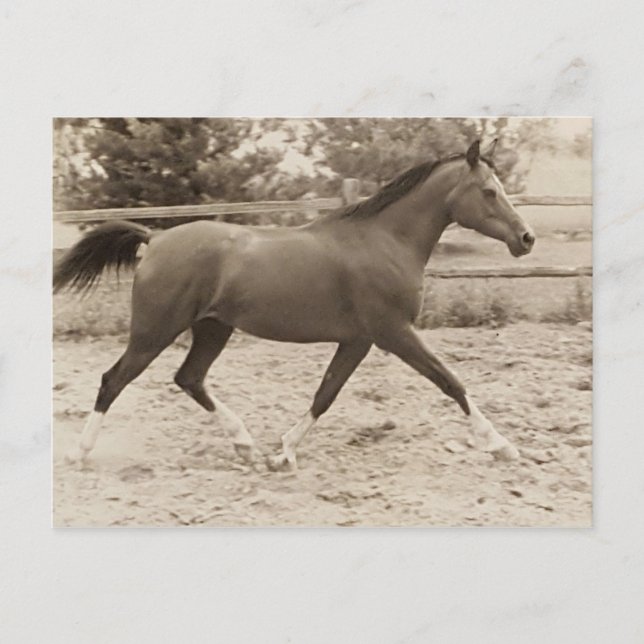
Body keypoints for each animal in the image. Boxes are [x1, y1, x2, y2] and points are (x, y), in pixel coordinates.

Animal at [54, 139, 535, 471]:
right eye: (489, 192)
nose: (526, 238)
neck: (384, 241)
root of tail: (154, 239)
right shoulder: (393, 333)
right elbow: (450, 381)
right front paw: (501, 445)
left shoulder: (359, 340)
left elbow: (326, 394)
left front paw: (282, 453)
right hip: (154, 331)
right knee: (113, 380)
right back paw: (80, 453)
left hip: (213, 328)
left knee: (189, 378)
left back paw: (245, 445)